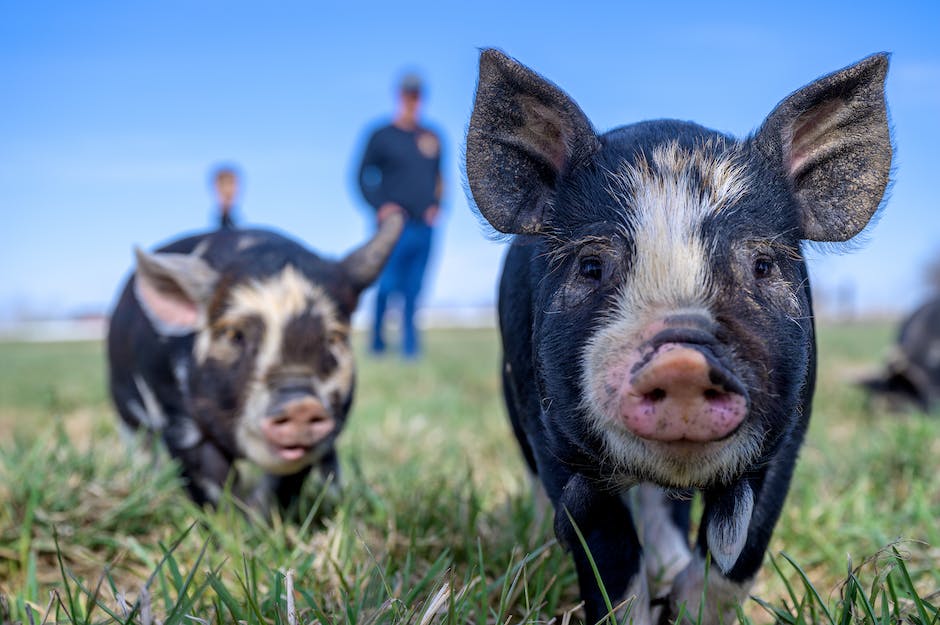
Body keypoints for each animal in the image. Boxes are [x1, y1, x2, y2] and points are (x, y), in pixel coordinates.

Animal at [108, 217, 402, 510]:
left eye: (334, 337)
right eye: (234, 334)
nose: (301, 405)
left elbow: (282, 485)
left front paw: (261, 518)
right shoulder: (178, 421)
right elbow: (211, 479)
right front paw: (229, 519)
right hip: (123, 406)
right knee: (140, 445)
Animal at [466, 50, 892, 624]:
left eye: (762, 264)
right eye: (591, 265)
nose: (683, 360)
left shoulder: (790, 432)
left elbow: (741, 554)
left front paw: (682, 604)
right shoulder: (551, 429)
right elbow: (609, 561)